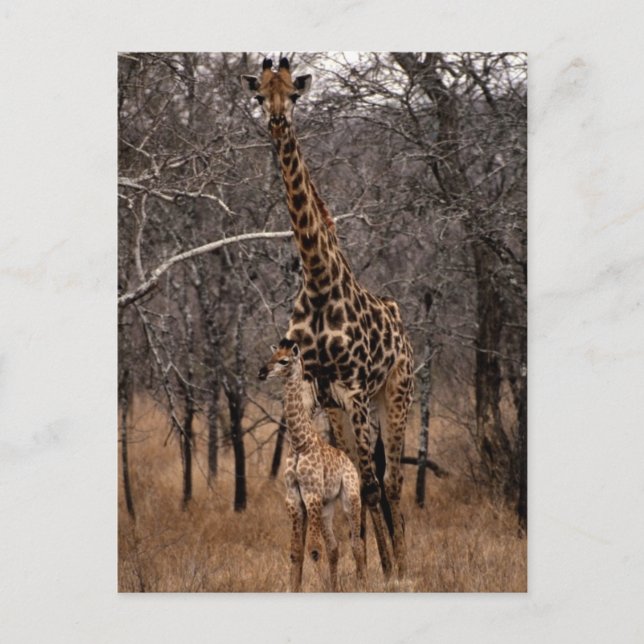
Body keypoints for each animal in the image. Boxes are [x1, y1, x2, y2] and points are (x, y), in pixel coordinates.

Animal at [259, 339, 366, 592]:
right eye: (271, 357)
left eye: (283, 361)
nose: (261, 372)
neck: (300, 443)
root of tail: (349, 462)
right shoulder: (294, 498)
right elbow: (296, 552)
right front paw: (294, 588)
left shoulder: (312, 495)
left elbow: (314, 551)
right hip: (327, 507)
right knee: (335, 547)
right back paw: (336, 587)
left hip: (350, 498)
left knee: (357, 544)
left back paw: (363, 585)